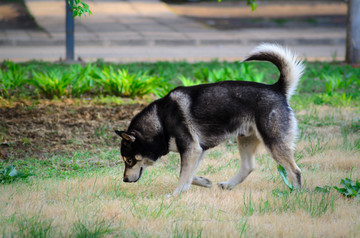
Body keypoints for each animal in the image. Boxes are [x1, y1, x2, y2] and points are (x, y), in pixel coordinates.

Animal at [114, 43, 304, 195]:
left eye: (129, 160)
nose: (124, 180)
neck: (161, 121)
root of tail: (277, 89)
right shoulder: (198, 150)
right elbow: (188, 175)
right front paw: (203, 182)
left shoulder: (191, 149)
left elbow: (182, 176)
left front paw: (175, 195)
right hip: (245, 139)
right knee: (248, 166)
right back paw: (228, 185)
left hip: (273, 143)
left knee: (295, 171)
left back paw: (295, 194)